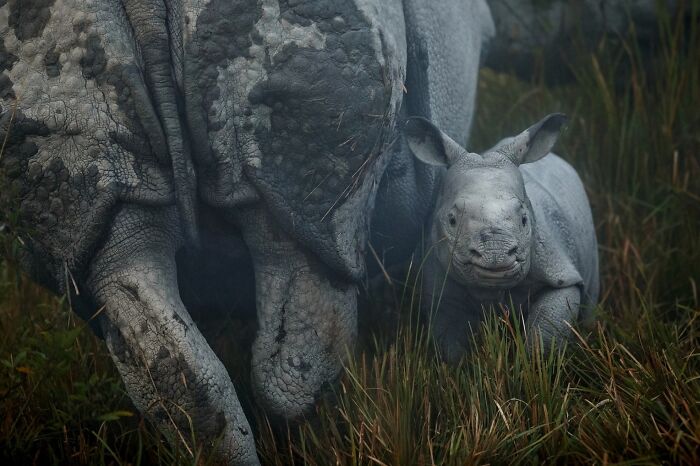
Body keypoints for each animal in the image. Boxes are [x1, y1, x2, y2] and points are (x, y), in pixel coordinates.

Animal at [403, 114, 599, 362]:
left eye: (524, 219)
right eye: (452, 220)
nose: (495, 254)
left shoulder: (560, 274)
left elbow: (545, 334)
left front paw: (536, 364)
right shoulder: (440, 290)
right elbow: (450, 342)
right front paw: (460, 367)